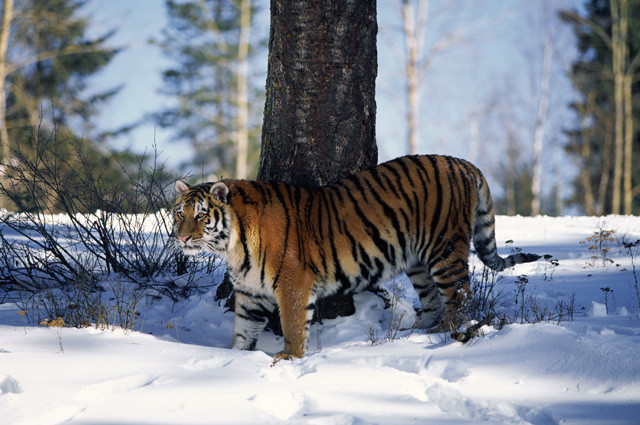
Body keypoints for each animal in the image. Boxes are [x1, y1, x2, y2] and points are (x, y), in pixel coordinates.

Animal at [172, 154, 536, 356]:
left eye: (201, 215)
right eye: (179, 214)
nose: (181, 237)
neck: (232, 247)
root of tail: (464, 163)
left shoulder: (292, 283)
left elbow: (293, 326)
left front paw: (288, 359)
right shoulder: (249, 292)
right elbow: (243, 331)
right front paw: (235, 361)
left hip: (443, 249)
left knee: (460, 295)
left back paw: (446, 336)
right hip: (417, 260)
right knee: (433, 300)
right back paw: (415, 335)